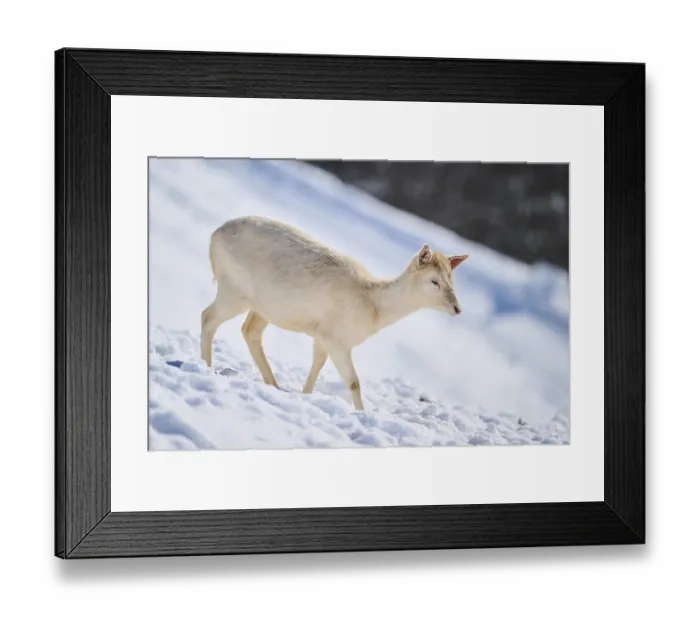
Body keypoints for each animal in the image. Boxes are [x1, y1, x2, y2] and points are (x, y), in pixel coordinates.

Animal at [201, 216, 469, 411]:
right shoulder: (336, 339)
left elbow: (317, 366)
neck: (374, 310)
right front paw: (361, 413)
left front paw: (306, 394)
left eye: (452, 280)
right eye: (434, 281)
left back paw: (274, 384)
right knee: (208, 316)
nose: (457, 308)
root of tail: (213, 236)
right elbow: (354, 381)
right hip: (235, 288)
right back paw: (206, 366)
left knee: (250, 331)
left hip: (264, 307)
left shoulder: (322, 335)